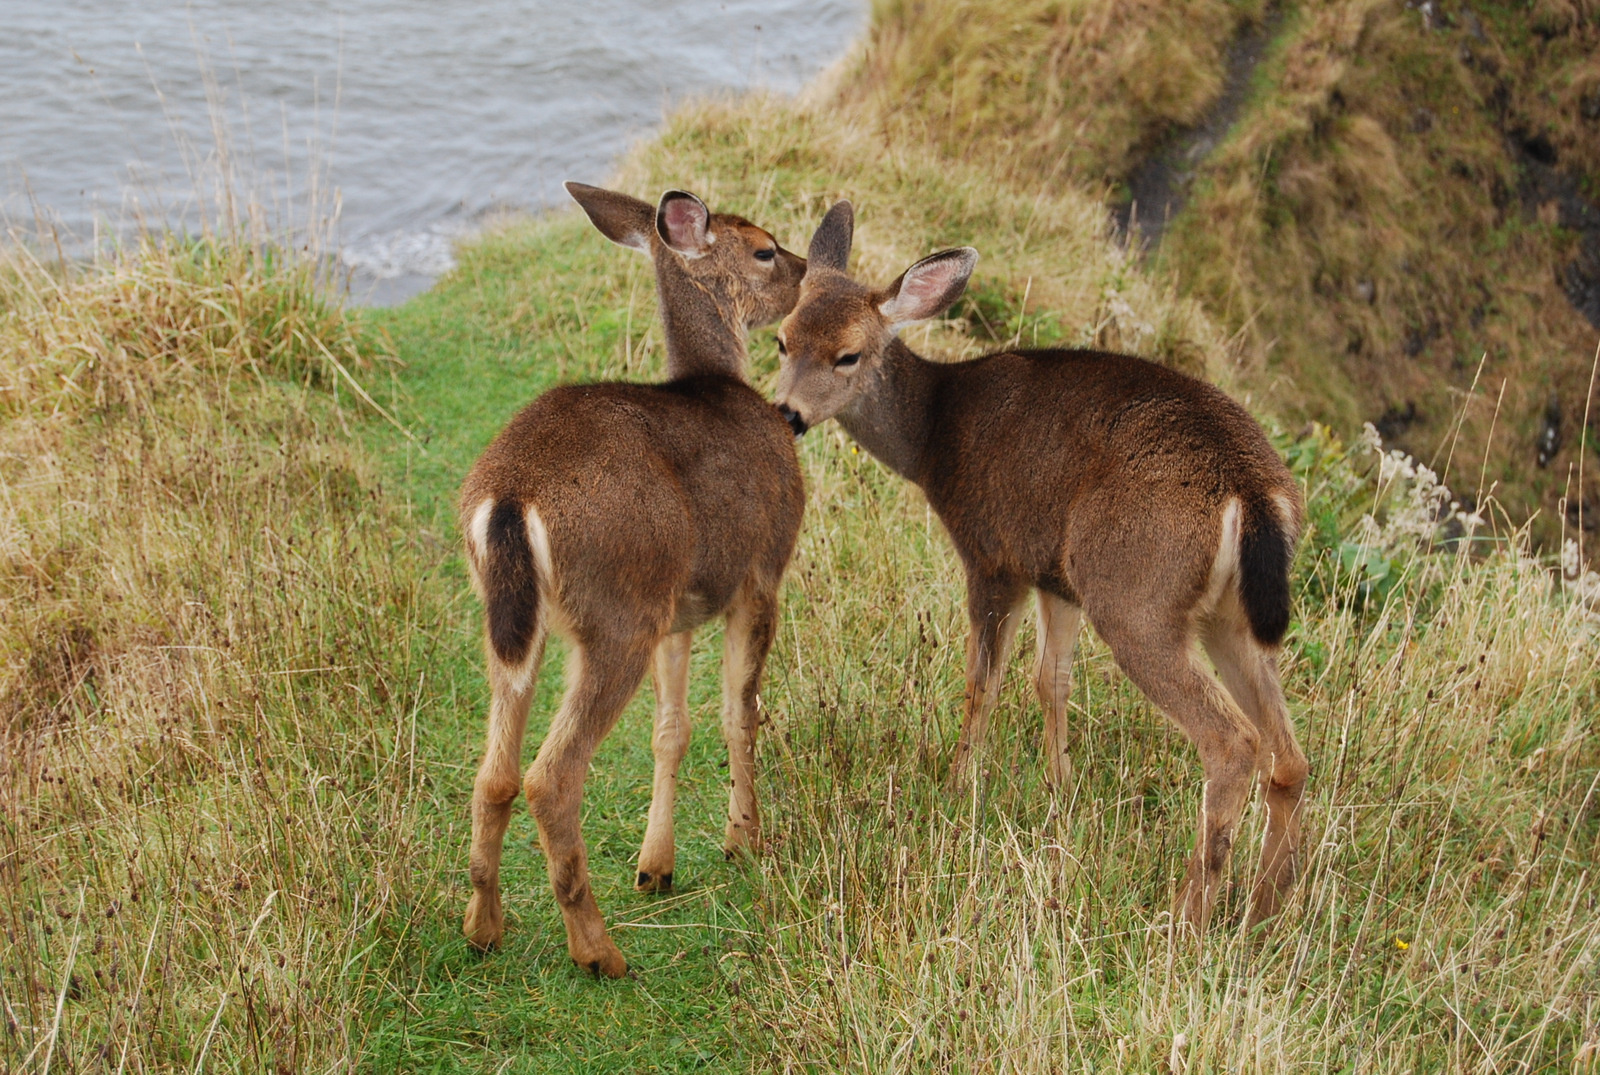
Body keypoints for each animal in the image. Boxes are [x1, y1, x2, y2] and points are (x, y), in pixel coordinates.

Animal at [467, 184, 806, 972]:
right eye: (763, 248)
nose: (808, 269)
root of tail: (509, 498)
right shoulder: (761, 572)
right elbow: (739, 711)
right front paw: (745, 841)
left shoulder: (677, 609)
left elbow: (671, 727)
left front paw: (657, 865)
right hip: (617, 613)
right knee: (551, 775)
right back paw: (598, 951)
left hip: (521, 627)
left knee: (494, 772)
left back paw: (483, 927)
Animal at [774, 203, 1312, 934]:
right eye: (781, 340)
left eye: (848, 354)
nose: (787, 413)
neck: (934, 436)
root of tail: (1252, 492)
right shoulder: (1058, 575)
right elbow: (1050, 679)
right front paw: (1061, 787)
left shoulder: (993, 553)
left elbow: (983, 682)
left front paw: (957, 785)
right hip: (1225, 616)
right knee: (1289, 755)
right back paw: (1262, 909)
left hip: (1135, 594)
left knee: (1232, 742)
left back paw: (1183, 919)